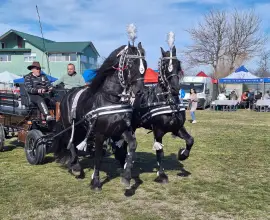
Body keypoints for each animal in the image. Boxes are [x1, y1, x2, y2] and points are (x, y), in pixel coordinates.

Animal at [53, 42, 147, 190]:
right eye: (131, 63)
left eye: (145, 64)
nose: (140, 92)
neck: (111, 99)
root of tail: (67, 95)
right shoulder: (99, 133)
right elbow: (98, 157)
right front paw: (96, 182)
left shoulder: (121, 129)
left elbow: (132, 145)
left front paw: (126, 177)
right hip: (70, 126)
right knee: (71, 143)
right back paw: (76, 167)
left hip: (82, 128)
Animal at [114, 46, 194, 182]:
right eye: (164, 65)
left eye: (178, 64)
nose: (175, 89)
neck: (168, 103)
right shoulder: (158, 131)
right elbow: (160, 152)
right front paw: (161, 174)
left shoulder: (177, 127)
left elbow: (190, 140)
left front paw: (182, 155)